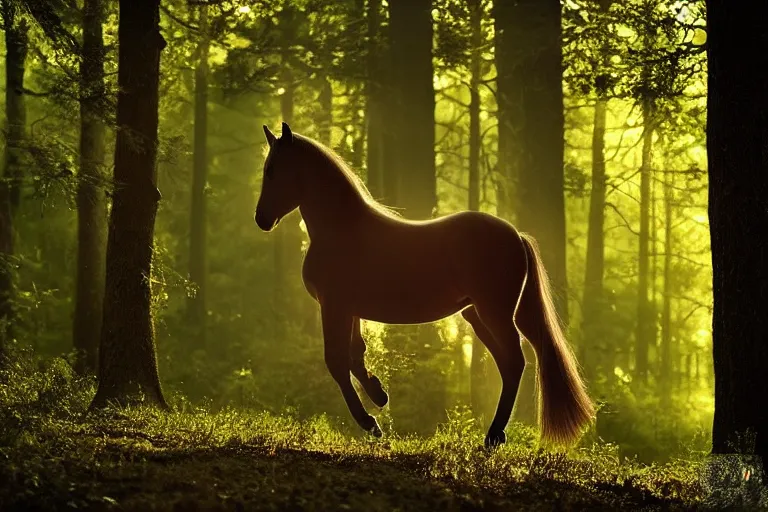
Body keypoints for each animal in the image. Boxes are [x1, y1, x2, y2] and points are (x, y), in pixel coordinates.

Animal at [255, 121, 596, 448]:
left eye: (273, 170)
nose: (261, 218)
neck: (342, 229)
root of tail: (516, 235)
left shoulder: (334, 306)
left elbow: (337, 362)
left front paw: (369, 422)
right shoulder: (349, 309)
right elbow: (356, 355)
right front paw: (379, 394)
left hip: (495, 314)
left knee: (514, 361)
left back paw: (493, 435)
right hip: (479, 316)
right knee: (508, 364)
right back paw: (495, 434)